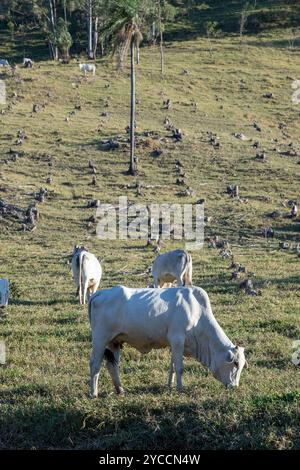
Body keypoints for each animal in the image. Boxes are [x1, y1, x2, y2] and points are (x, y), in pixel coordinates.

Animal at [87, 284, 246, 398]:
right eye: (236, 363)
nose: (235, 386)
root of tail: (98, 294)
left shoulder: (175, 344)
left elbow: (173, 367)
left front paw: (170, 386)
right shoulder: (177, 340)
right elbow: (180, 367)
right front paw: (180, 389)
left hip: (114, 342)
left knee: (112, 365)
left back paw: (120, 389)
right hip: (100, 339)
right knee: (95, 364)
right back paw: (93, 393)